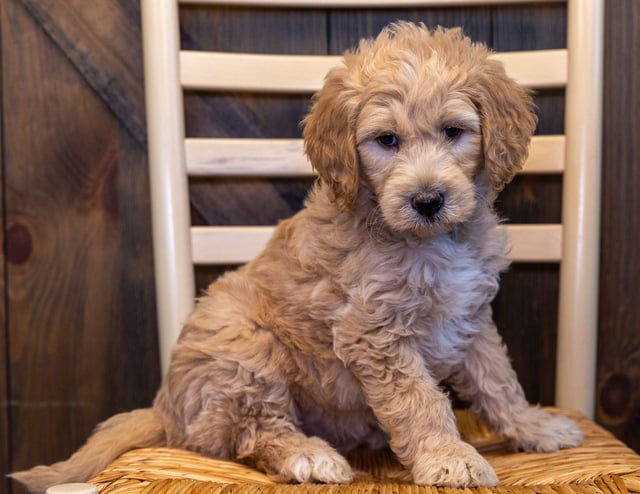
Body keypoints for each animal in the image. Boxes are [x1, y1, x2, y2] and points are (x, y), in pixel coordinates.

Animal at [12, 21, 584, 492]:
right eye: (387, 141)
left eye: (453, 132)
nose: (427, 200)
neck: (428, 241)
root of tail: (165, 409)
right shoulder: (373, 333)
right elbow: (420, 401)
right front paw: (449, 456)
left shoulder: (471, 317)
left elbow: (497, 379)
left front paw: (532, 426)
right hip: (241, 345)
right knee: (254, 432)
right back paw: (308, 455)